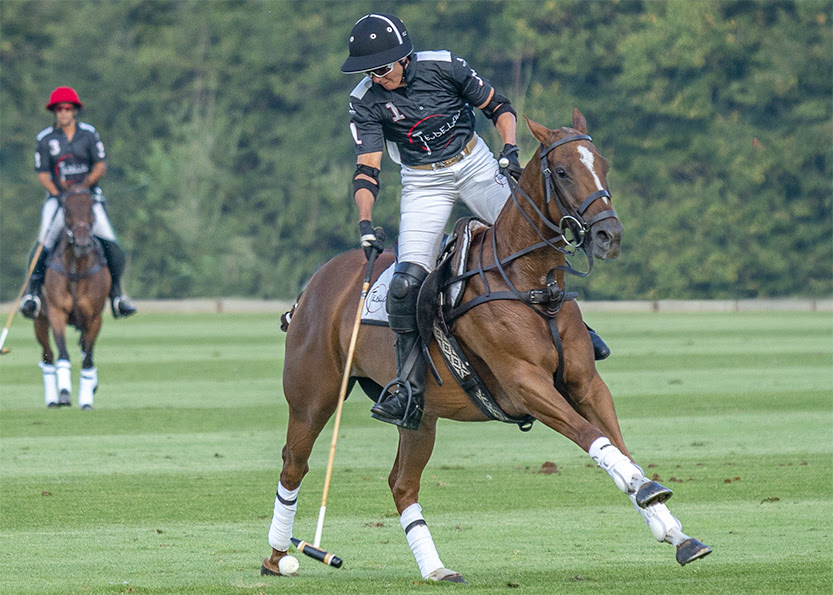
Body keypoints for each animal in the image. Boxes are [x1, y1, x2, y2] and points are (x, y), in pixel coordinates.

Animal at [34, 191, 110, 410]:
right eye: (66, 211)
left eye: (91, 209)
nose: (83, 241)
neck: (76, 267)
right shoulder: (56, 312)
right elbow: (63, 353)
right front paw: (65, 393)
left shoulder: (94, 318)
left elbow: (88, 357)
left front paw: (86, 399)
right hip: (39, 319)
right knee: (48, 355)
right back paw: (53, 399)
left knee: (86, 352)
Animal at [264, 112, 712, 584]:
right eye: (563, 171)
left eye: (603, 165)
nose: (610, 235)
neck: (531, 283)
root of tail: (313, 285)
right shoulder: (526, 384)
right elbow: (594, 438)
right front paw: (647, 491)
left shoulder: (586, 382)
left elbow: (619, 445)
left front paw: (675, 531)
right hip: (313, 397)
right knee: (294, 463)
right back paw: (278, 556)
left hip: (420, 416)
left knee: (402, 482)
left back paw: (436, 569)